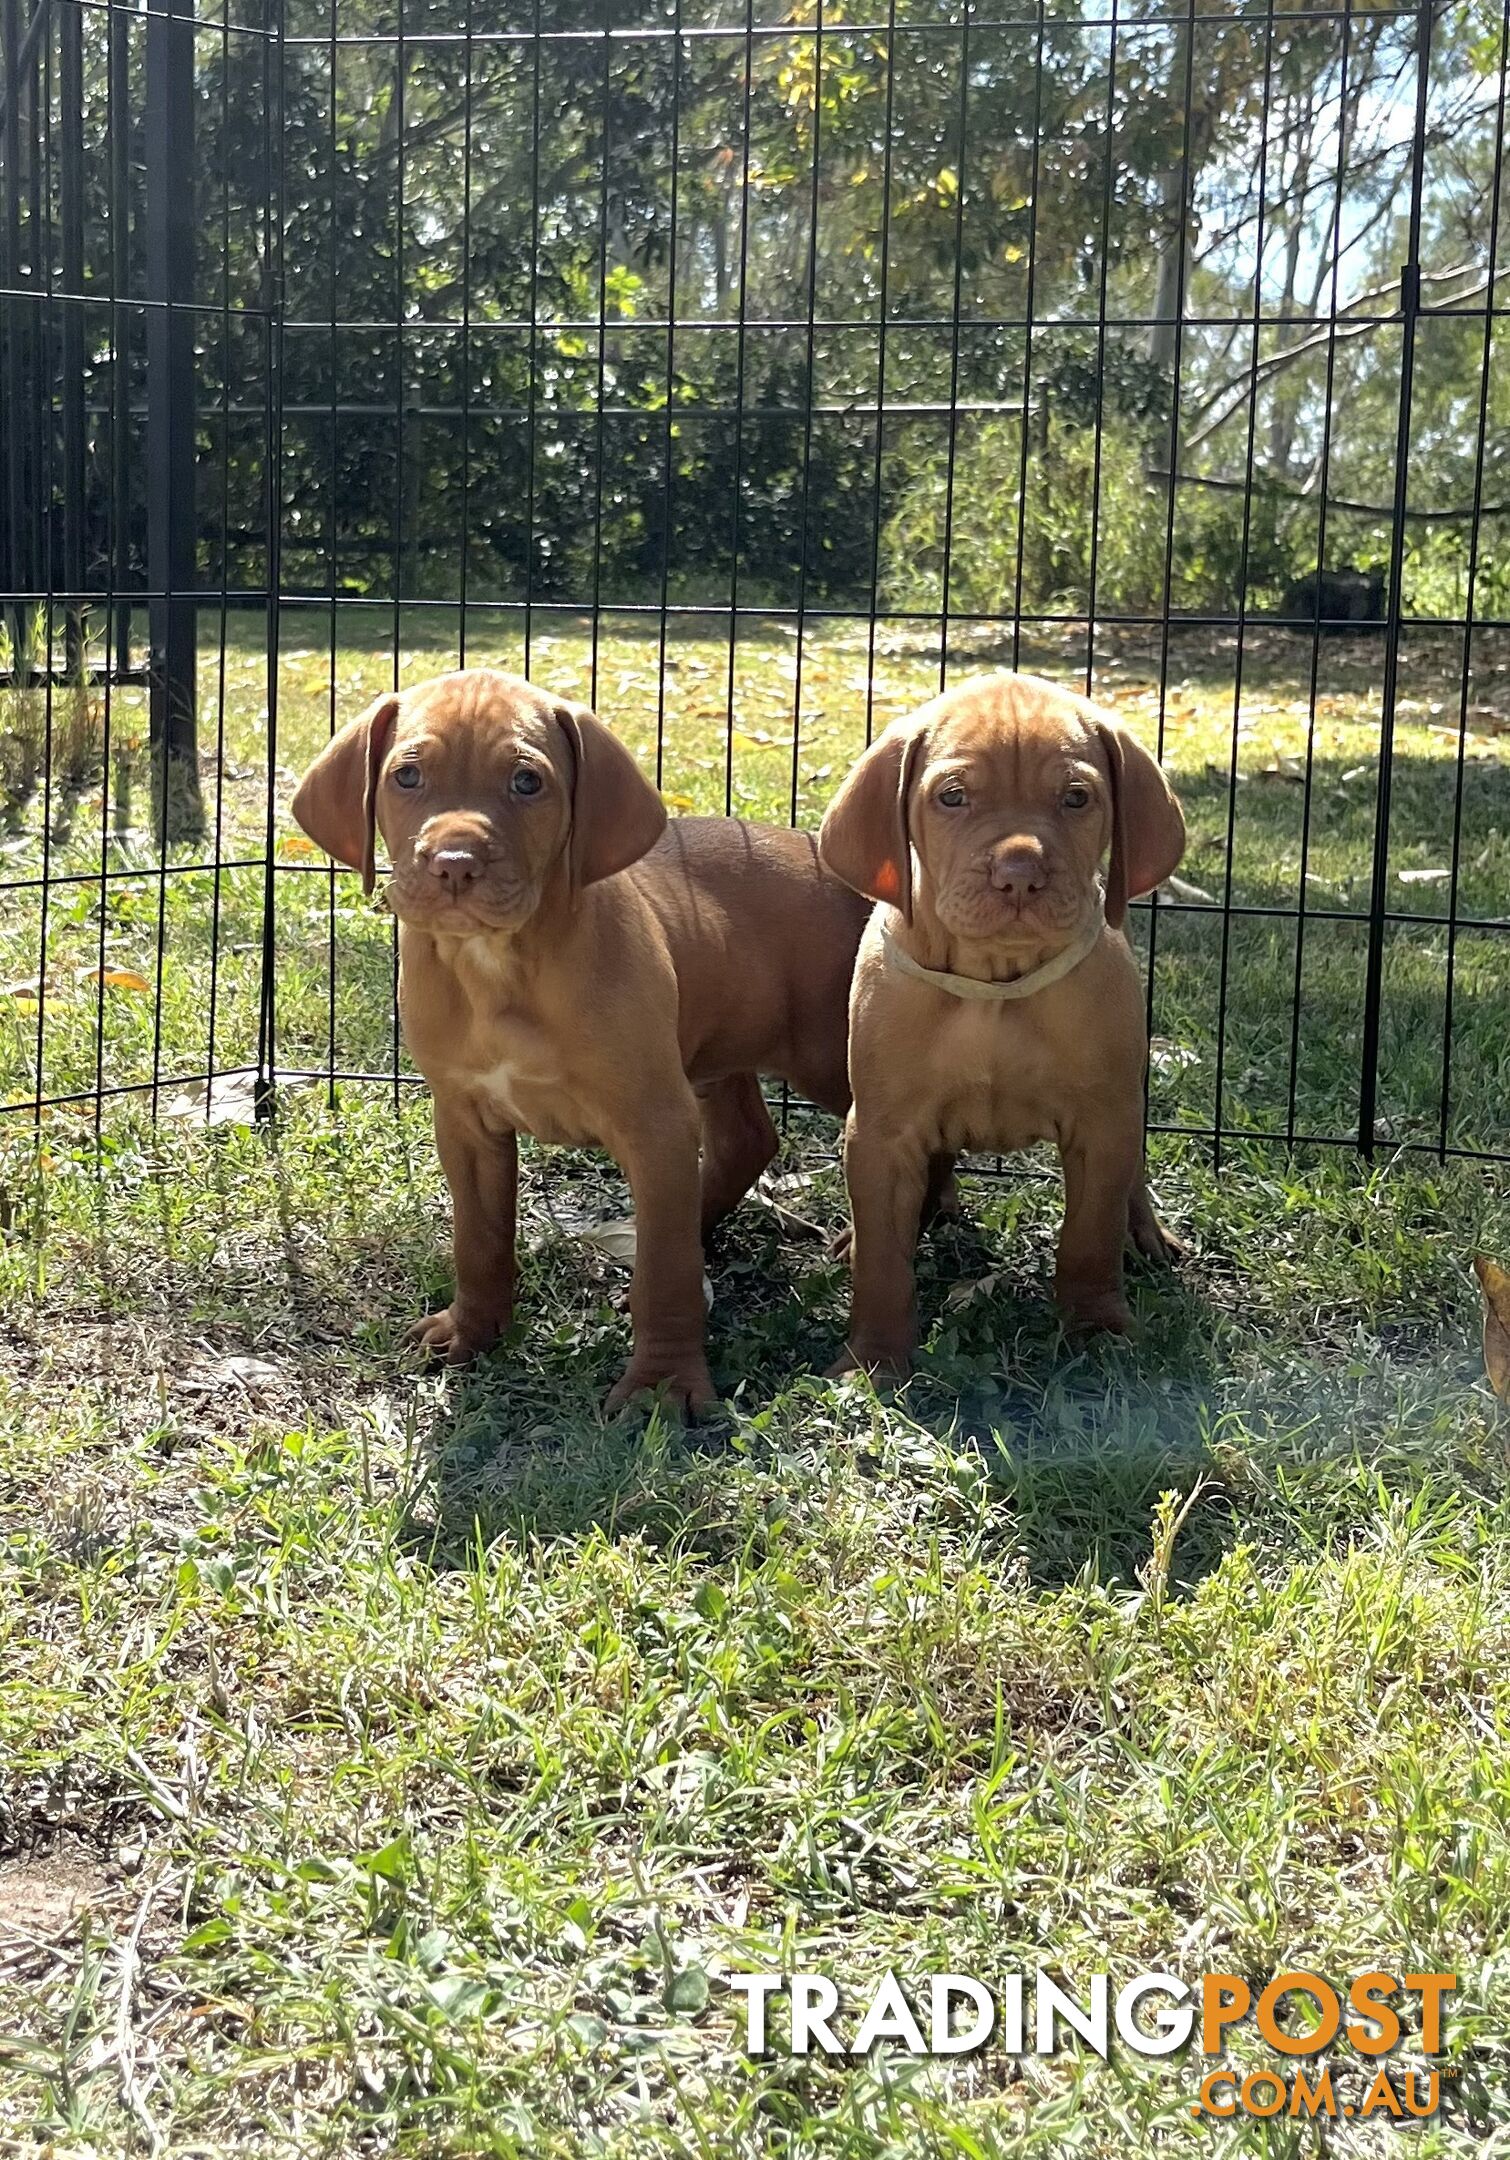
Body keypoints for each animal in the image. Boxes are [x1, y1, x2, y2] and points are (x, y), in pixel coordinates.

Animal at [291, 673, 872, 1416]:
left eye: (526, 782)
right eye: (407, 776)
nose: (453, 865)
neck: (498, 965)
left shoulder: (654, 1122)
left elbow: (666, 1275)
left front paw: (662, 1385)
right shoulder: (465, 1121)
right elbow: (479, 1241)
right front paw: (470, 1332)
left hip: (826, 1056)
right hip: (714, 1047)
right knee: (747, 1140)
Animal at [820, 673, 1183, 1373]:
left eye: (1076, 798)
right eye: (953, 797)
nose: (1019, 876)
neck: (994, 986)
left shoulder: (1102, 1124)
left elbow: (1089, 1237)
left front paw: (1098, 1327)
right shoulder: (881, 1133)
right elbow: (883, 1263)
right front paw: (875, 1358)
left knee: (1132, 1177)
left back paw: (1146, 1232)